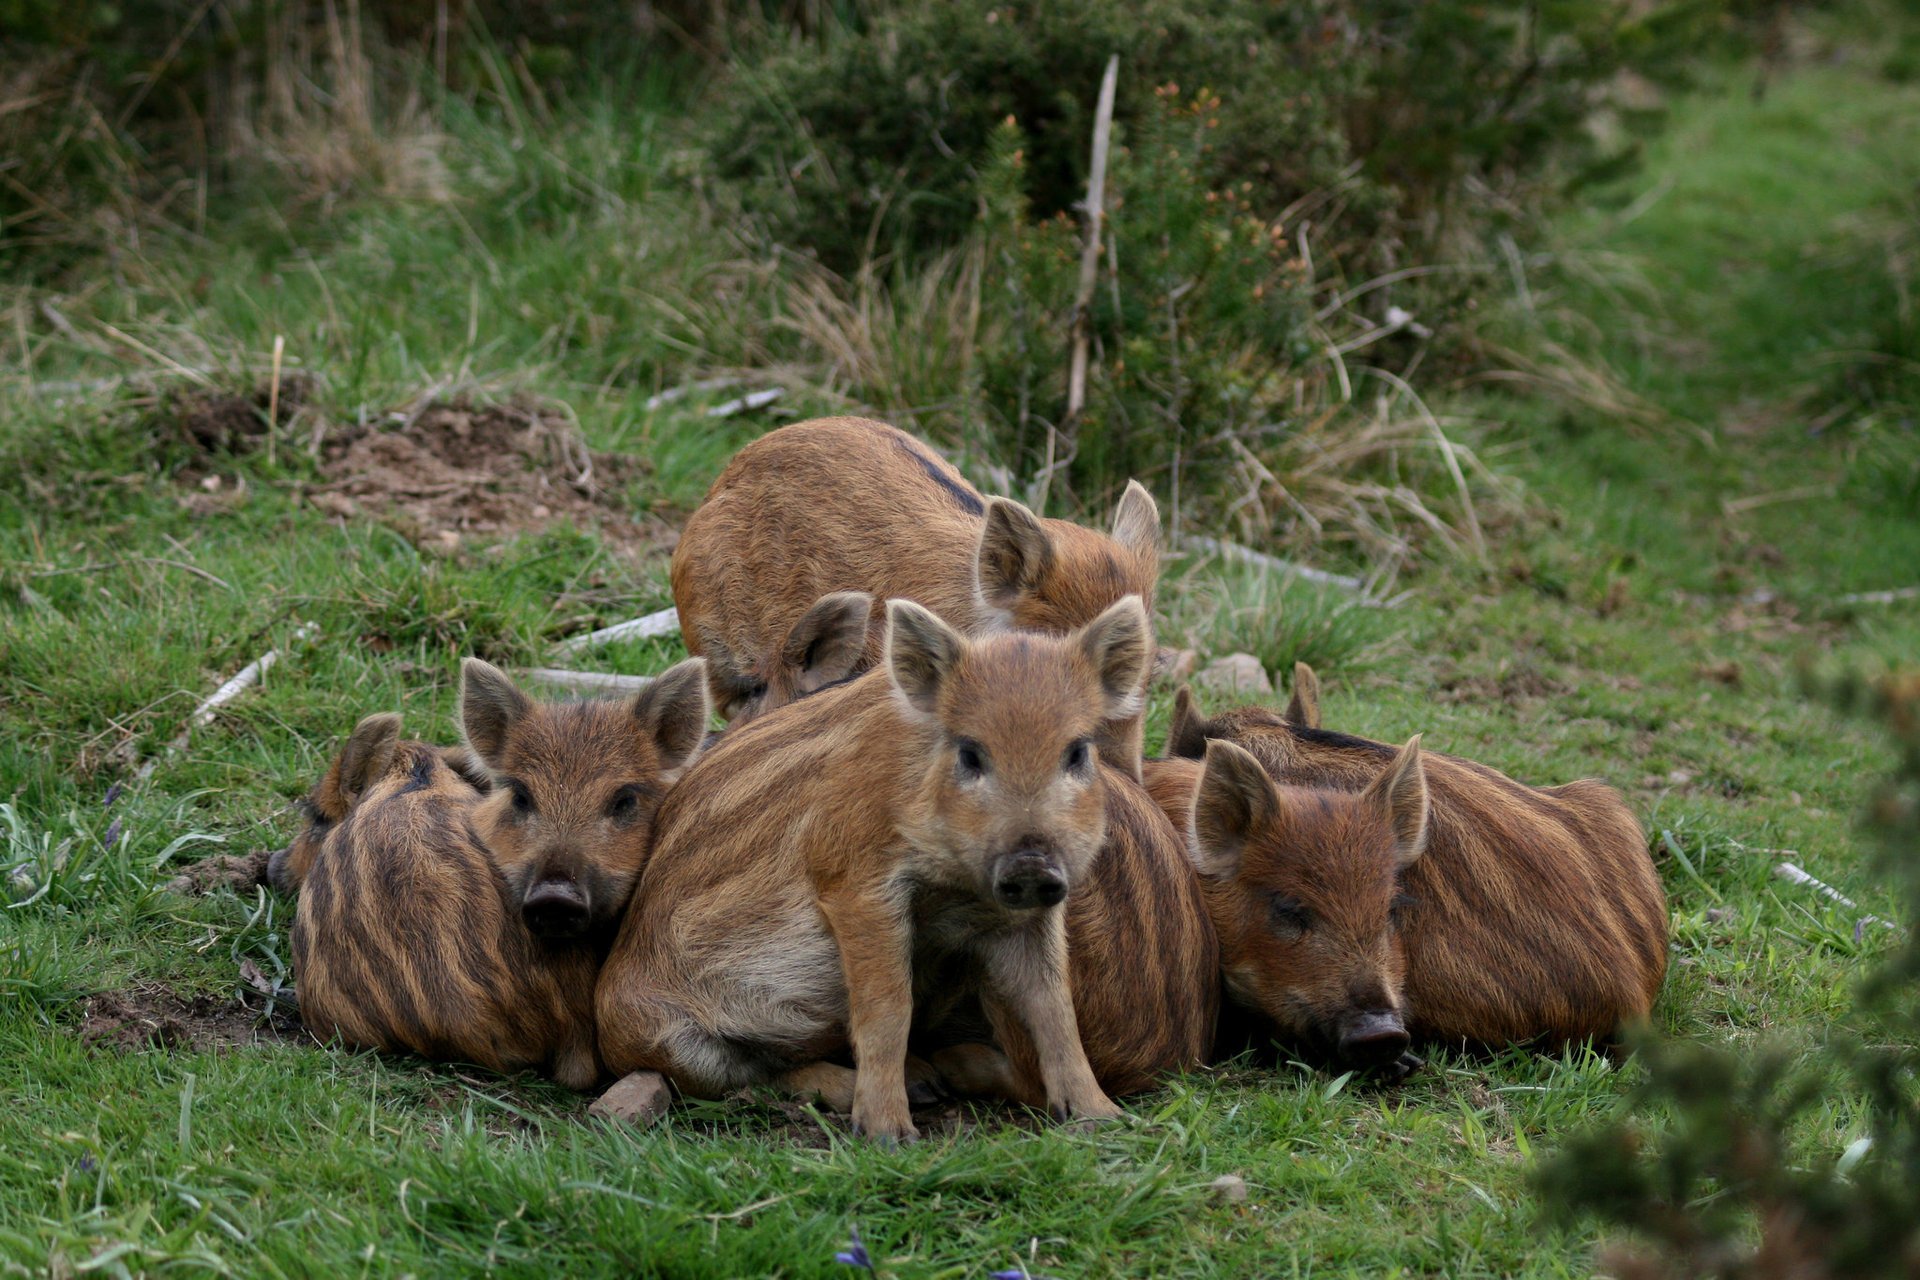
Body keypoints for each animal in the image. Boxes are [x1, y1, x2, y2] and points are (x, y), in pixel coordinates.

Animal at [595, 596, 1192, 1141]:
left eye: (1077, 751)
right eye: (969, 752)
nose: (1030, 861)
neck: (957, 884)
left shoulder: (1025, 915)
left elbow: (1055, 1007)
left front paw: (1103, 1120)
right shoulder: (853, 881)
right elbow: (887, 1008)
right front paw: (889, 1136)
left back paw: (926, 1081)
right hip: (656, 1034)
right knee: (747, 1077)